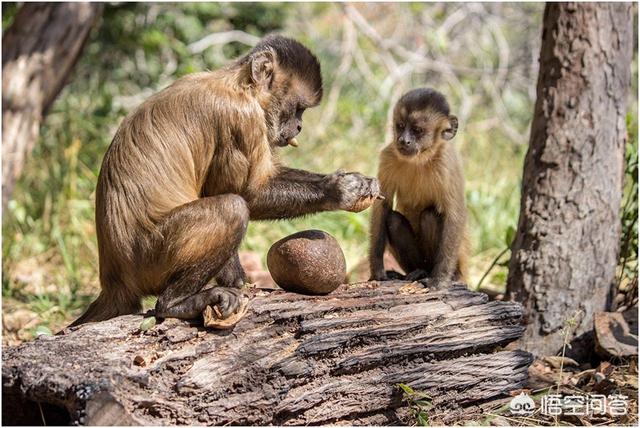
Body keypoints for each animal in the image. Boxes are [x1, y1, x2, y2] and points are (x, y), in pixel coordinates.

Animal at [70, 35, 380, 326]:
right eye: (298, 108)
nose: (299, 126)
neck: (238, 85)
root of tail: (114, 278)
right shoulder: (240, 117)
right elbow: (244, 194)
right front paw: (339, 190)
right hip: (149, 259)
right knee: (232, 207)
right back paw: (174, 304)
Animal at [368, 88, 468, 288]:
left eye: (417, 130)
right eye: (400, 126)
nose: (403, 140)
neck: (421, 159)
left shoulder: (446, 163)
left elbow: (455, 215)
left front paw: (439, 279)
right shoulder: (389, 156)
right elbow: (382, 206)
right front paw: (377, 271)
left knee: (430, 216)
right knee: (393, 220)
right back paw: (417, 271)